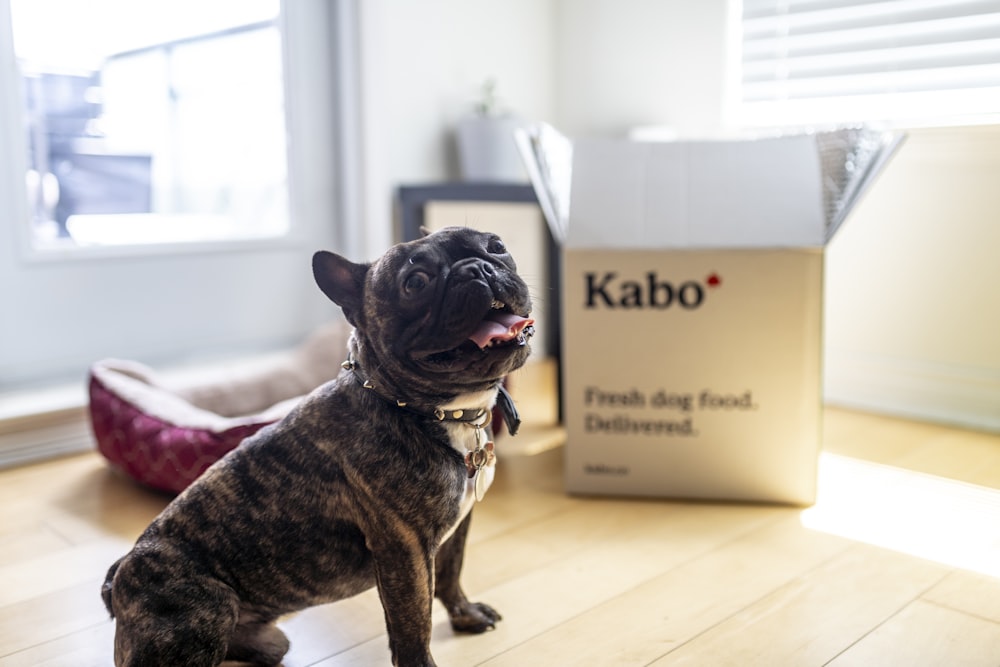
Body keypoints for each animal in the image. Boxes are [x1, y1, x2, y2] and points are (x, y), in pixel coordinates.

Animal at [101, 227, 536, 664]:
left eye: (497, 246)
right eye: (415, 283)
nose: (477, 267)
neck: (431, 411)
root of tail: (119, 578)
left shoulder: (455, 527)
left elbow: (450, 574)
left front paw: (465, 614)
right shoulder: (405, 551)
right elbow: (414, 627)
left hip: (266, 638)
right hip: (202, 617)